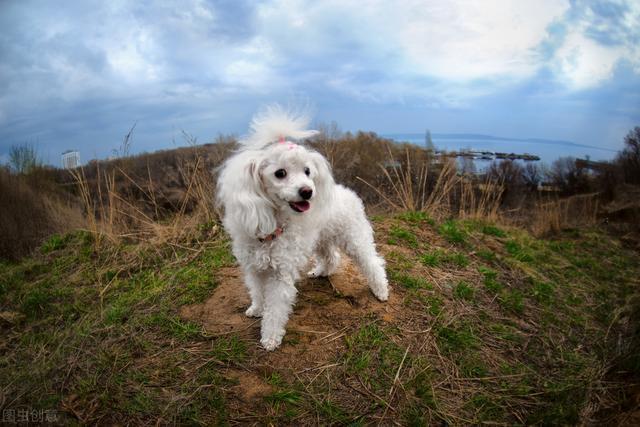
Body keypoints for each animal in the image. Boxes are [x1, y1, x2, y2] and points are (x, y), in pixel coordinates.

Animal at [216, 107, 390, 352]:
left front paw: (270, 338)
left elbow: (275, 310)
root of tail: (348, 193)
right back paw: (321, 271)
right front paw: (257, 309)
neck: (272, 227)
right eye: (280, 173)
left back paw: (381, 290)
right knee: (331, 257)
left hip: (354, 238)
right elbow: (257, 293)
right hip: (322, 239)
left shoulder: (280, 275)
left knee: (372, 263)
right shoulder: (254, 268)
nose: (308, 191)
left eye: (307, 171)